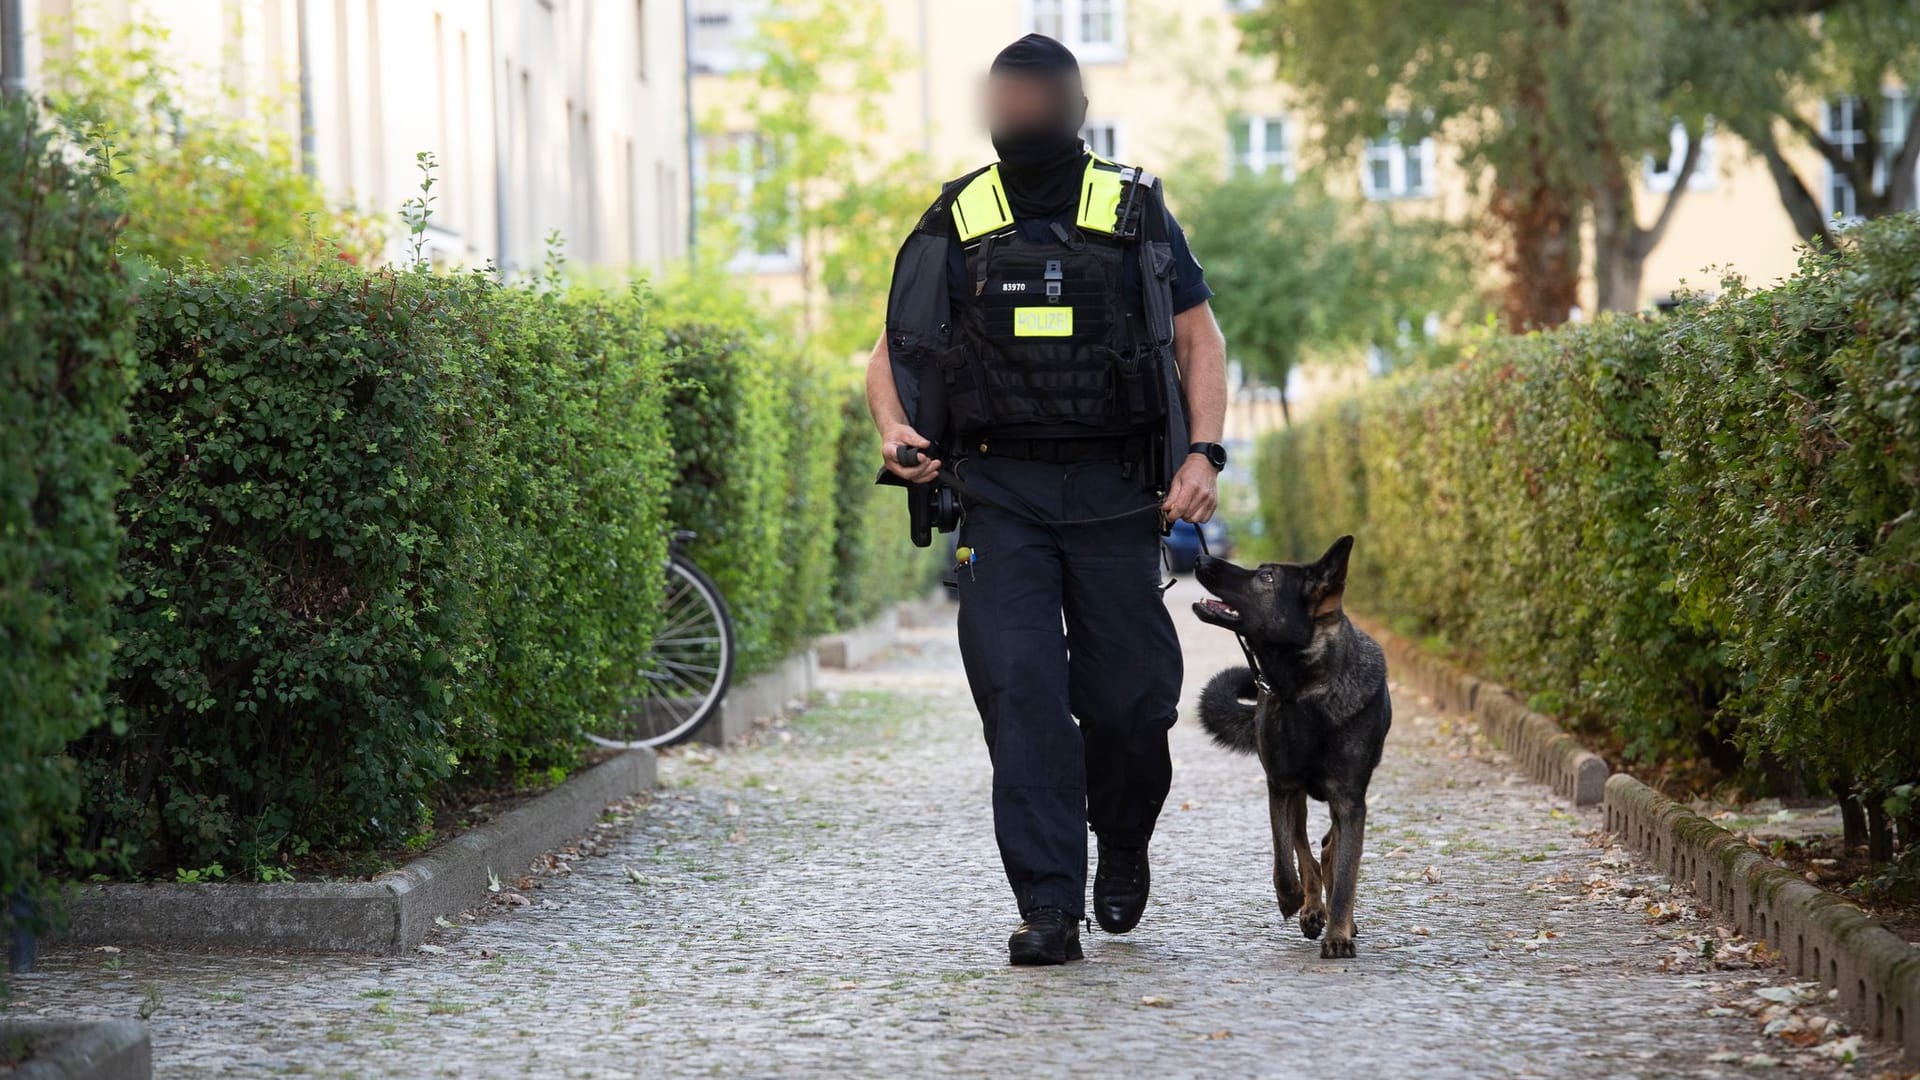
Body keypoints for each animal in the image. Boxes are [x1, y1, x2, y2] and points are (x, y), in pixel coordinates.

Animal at [1190, 534, 1390, 953]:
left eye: (1266, 577)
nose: (1201, 559)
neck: (1305, 692)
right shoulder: (1282, 787)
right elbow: (1286, 859)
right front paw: (1294, 899)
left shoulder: (1350, 802)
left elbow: (1345, 875)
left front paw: (1339, 933)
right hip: (1297, 797)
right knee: (1307, 852)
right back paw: (1311, 906)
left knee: (1330, 850)